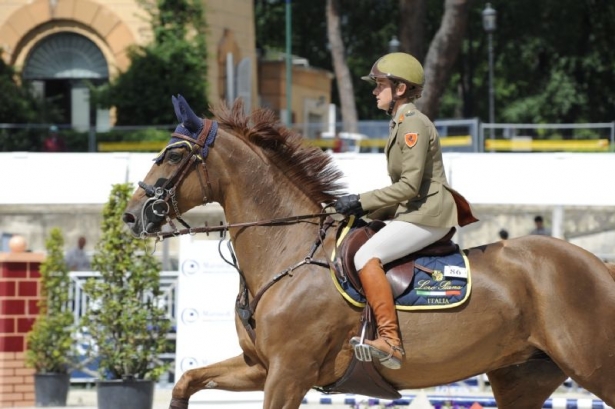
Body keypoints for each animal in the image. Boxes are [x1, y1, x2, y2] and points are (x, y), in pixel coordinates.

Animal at [122, 96, 615, 408]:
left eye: (171, 155)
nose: (131, 216)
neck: (287, 252)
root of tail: (599, 266)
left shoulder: (289, 372)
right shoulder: (260, 367)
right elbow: (187, 380)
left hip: (593, 366)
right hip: (523, 377)